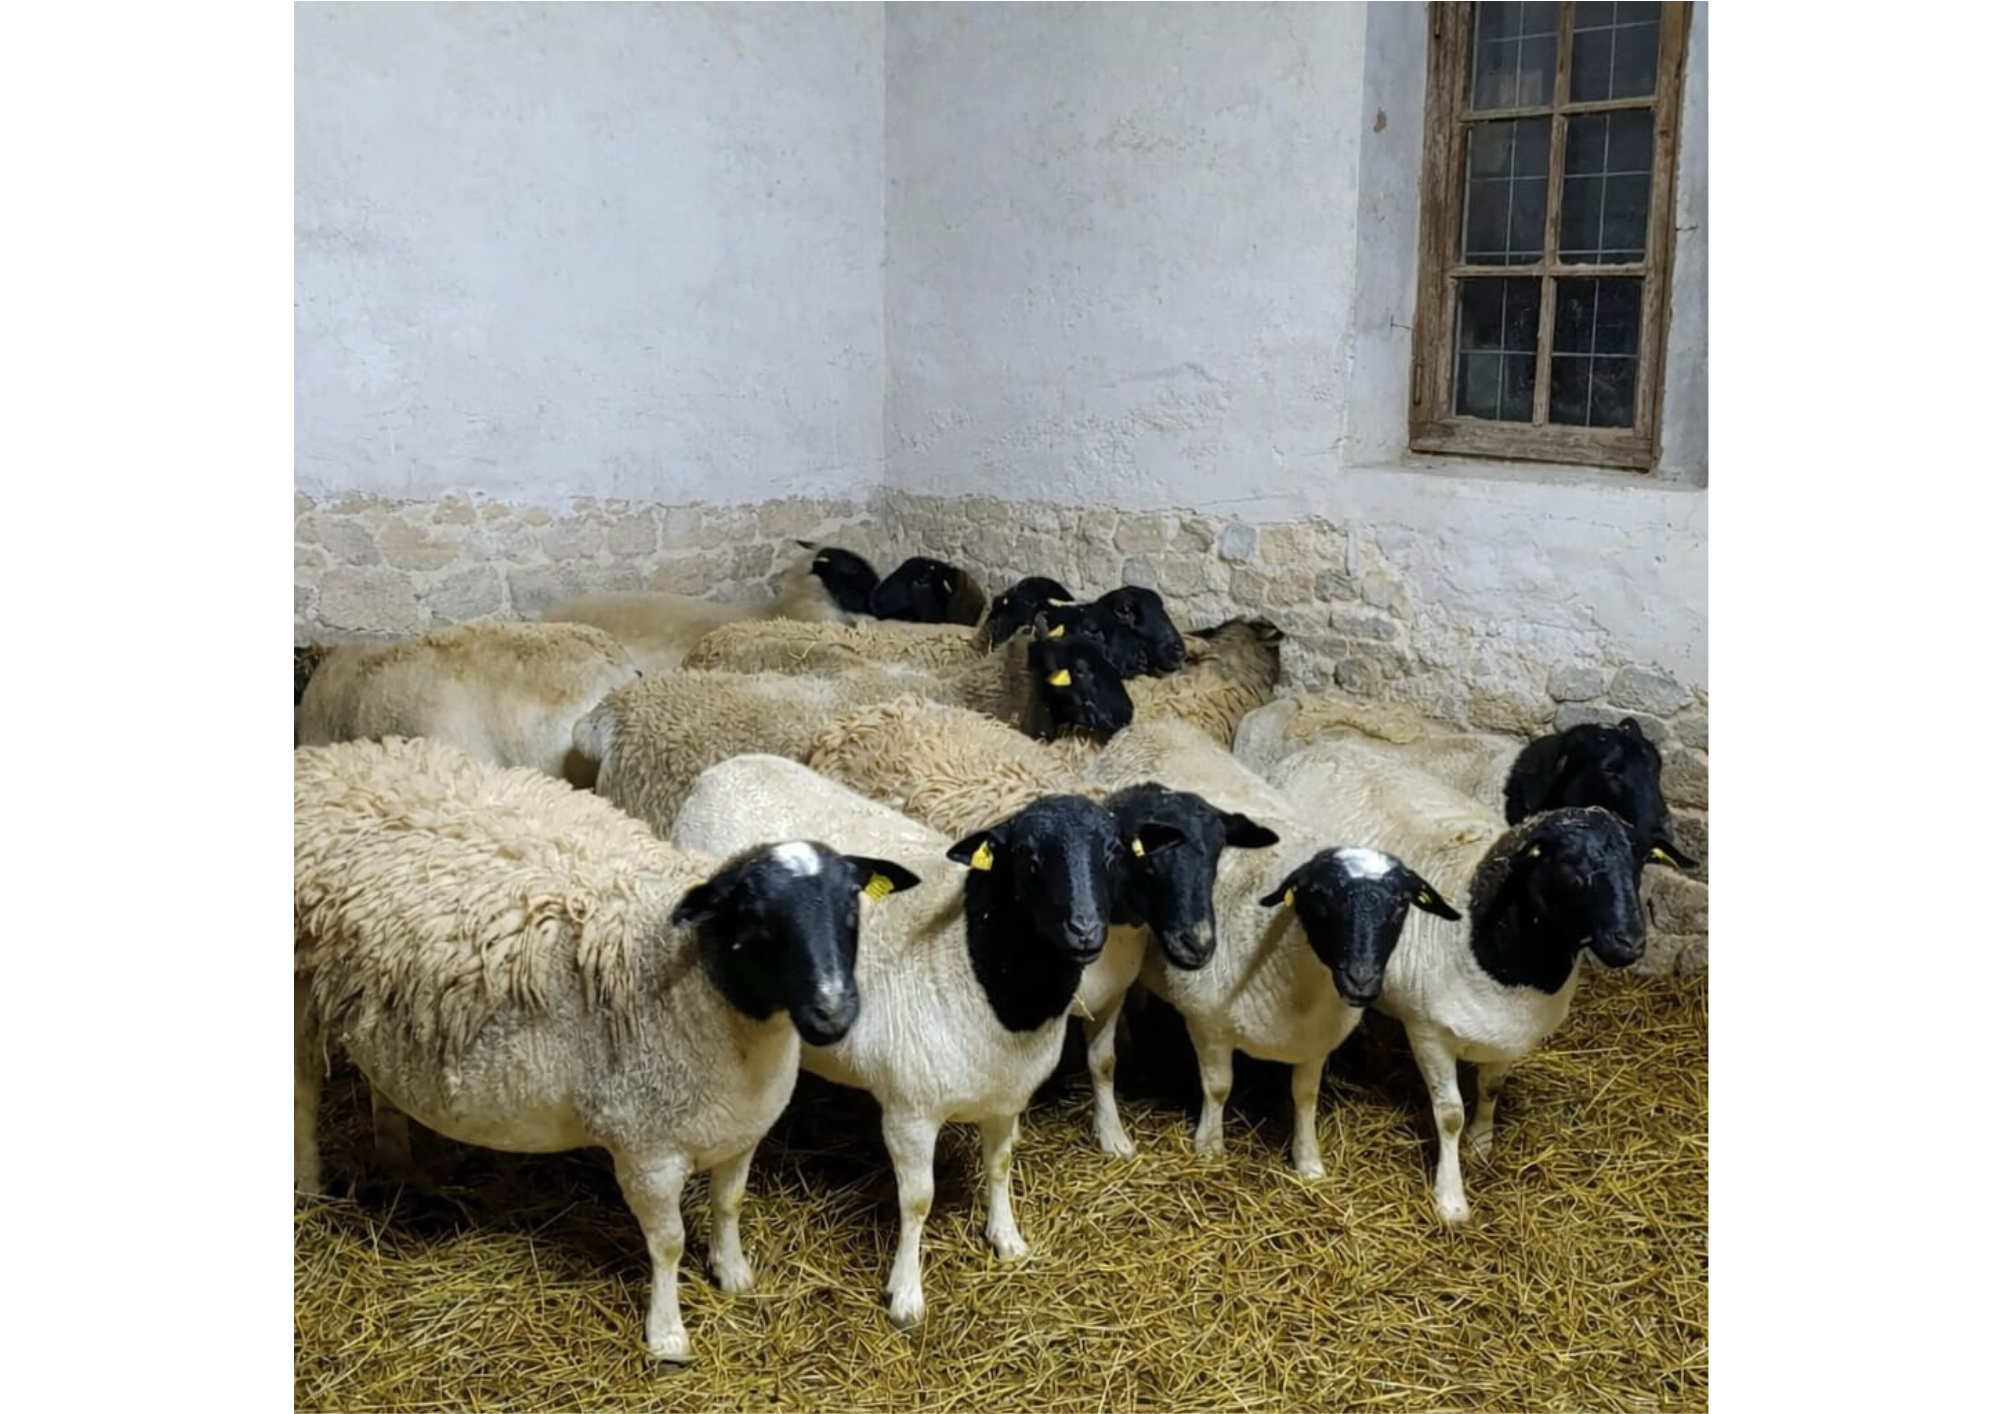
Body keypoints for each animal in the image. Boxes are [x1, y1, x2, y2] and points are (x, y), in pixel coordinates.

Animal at [293, 735, 920, 1361]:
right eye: (757, 921)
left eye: (851, 909)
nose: (833, 1011)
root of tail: (329, 760)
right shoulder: (646, 1152)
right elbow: (668, 1244)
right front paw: (667, 1335)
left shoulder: (742, 1132)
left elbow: (730, 1203)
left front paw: (734, 1273)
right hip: (300, 998)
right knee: (302, 1099)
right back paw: (310, 1190)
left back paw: (397, 1158)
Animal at [671, 754, 1125, 1328]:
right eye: (1028, 856)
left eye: (1113, 852)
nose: (1084, 930)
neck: (975, 958)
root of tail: (724, 768)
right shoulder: (911, 1112)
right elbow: (918, 1201)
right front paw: (906, 1294)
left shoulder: (1007, 1096)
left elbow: (1000, 1166)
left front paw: (1007, 1238)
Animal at [805, 698, 1279, 1156]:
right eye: (1145, 860)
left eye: (1216, 854)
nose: (1198, 944)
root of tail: (857, 716)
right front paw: (1014, 1132)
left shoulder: (1112, 993)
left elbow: (1103, 1064)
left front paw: (1113, 1135)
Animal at [1082, 720, 1458, 1179]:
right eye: (1320, 899)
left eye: (1401, 904)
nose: (1362, 980)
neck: (1302, 988)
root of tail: (1153, 723)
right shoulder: (1209, 1023)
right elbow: (1218, 1087)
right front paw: (1210, 1149)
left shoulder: (1316, 1041)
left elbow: (1306, 1096)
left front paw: (1308, 1160)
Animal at [1260, 734, 1681, 1224]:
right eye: (1570, 866)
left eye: (1637, 865)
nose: (1629, 942)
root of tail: (1312, 751)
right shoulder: (1429, 1033)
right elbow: (1449, 1115)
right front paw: (1451, 1198)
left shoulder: (1510, 1035)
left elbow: (1491, 1088)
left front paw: (1482, 1144)